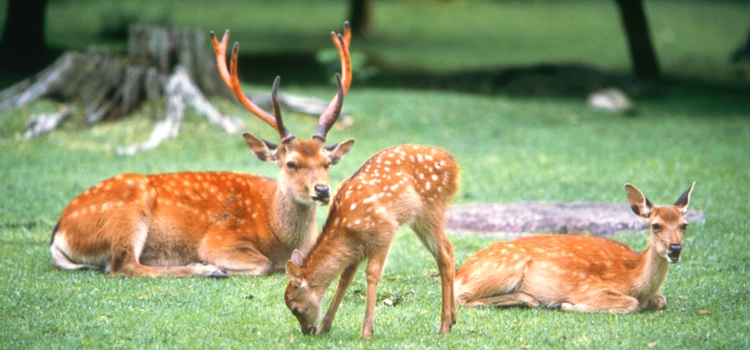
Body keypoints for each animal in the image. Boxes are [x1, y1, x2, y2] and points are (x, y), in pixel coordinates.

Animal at [49, 23, 356, 278]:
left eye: (327, 162)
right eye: (291, 163)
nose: (322, 190)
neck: (280, 236)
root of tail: (59, 231)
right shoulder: (219, 239)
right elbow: (263, 264)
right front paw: (218, 266)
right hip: (126, 216)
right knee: (123, 266)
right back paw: (205, 269)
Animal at [458, 185, 700, 314]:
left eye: (684, 225)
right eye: (655, 225)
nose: (675, 249)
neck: (635, 278)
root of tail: (461, 271)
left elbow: (661, 300)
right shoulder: (588, 288)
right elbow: (631, 303)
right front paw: (564, 304)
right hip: (505, 267)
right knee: (461, 296)